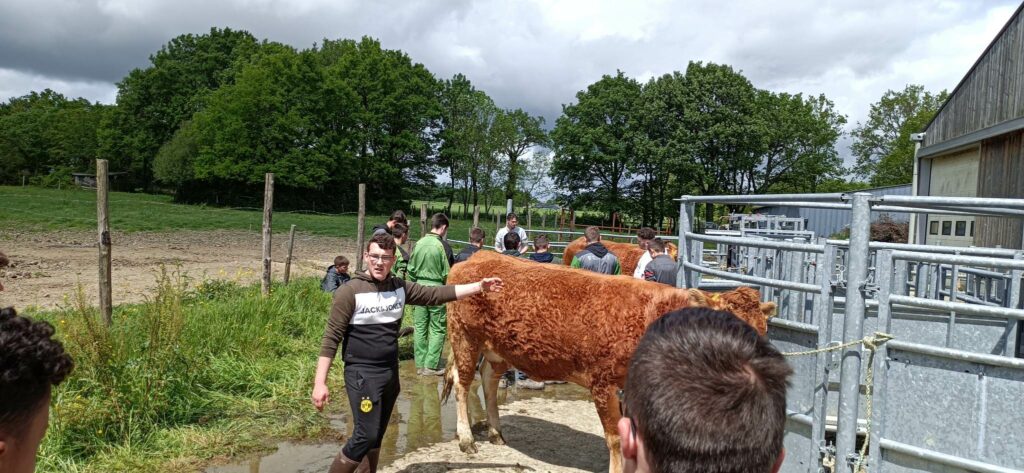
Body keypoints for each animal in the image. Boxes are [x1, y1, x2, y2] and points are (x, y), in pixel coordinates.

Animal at [444, 252, 770, 473]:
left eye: (763, 332)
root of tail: (478, 256)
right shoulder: (603, 383)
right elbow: (615, 438)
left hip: (498, 349)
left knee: (488, 380)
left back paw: (496, 433)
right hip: (464, 336)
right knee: (462, 382)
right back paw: (466, 439)